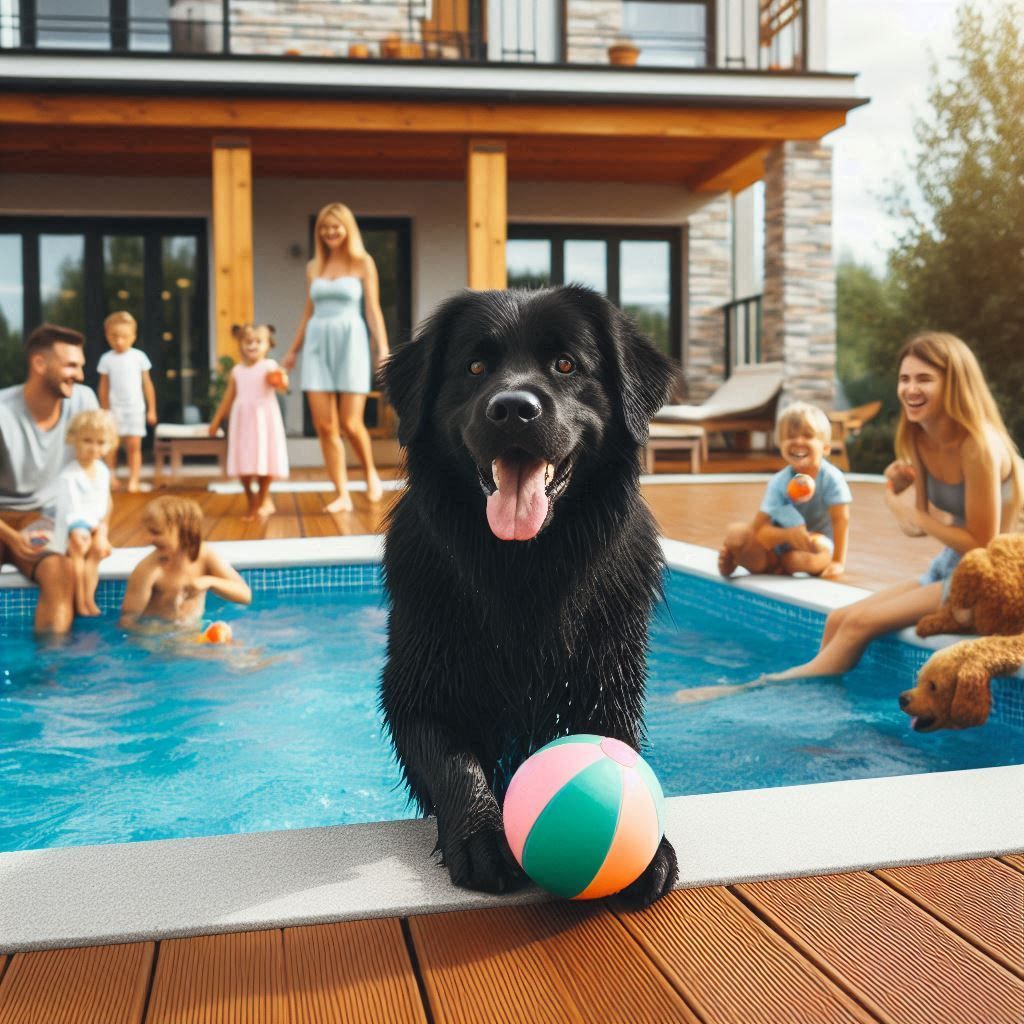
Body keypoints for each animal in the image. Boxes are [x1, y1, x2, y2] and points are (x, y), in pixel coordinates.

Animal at [380, 286, 675, 905]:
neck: (523, 565)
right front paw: (481, 835)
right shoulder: (414, 691)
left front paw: (650, 845)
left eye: (565, 364)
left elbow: (619, 745)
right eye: (474, 367)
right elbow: (452, 757)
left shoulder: (607, 679)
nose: (513, 408)